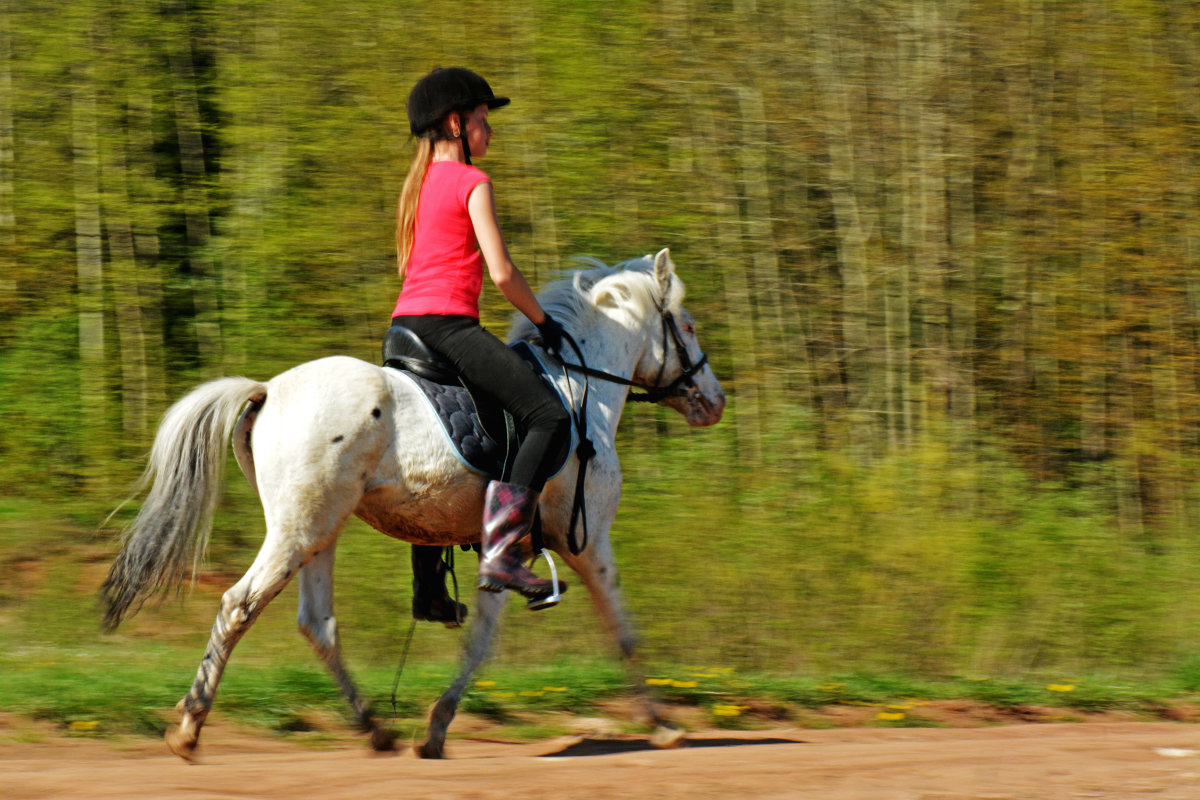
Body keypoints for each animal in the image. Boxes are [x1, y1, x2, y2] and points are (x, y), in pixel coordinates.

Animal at [100, 248, 720, 758]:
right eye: (687, 325)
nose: (714, 401)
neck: (578, 390)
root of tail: (268, 389)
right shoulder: (584, 541)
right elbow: (621, 627)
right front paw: (665, 725)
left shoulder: (508, 548)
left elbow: (481, 640)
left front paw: (436, 727)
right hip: (300, 530)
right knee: (238, 605)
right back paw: (189, 727)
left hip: (320, 530)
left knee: (317, 624)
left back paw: (376, 728)